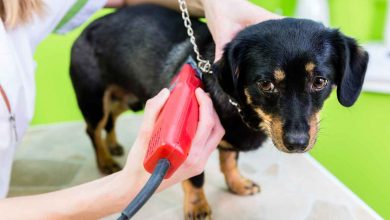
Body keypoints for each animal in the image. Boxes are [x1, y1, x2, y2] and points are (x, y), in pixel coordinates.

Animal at [69, 3, 368, 220]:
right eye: (266, 84)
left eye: (319, 82)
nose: (297, 143)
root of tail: (86, 29)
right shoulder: (190, 143)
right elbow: (196, 179)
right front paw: (197, 206)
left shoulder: (230, 144)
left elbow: (230, 160)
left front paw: (238, 184)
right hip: (94, 100)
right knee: (93, 129)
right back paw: (105, 160)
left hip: (123, 99)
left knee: (111, 121)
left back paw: (113, 145)